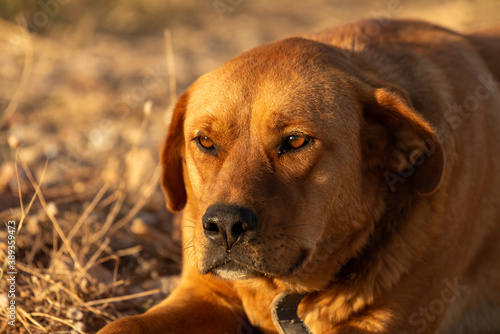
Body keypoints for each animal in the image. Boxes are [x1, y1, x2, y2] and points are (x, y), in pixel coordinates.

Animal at [98, 19, 500, 332]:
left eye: (294, 141)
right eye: (206, 142)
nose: (224, 225)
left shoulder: (385, 321)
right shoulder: (206, 292)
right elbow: (124, 325)